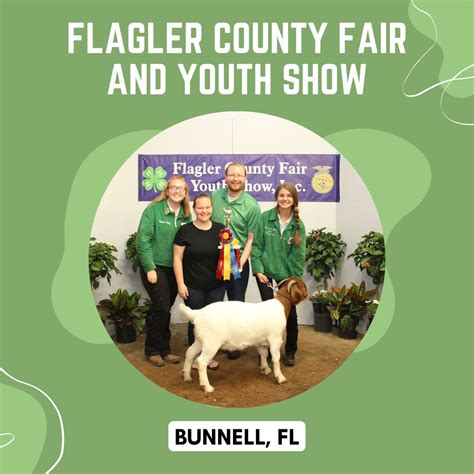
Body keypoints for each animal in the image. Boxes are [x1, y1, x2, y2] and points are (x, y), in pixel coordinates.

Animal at [178, 278, 308, 392]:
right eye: (304, 286)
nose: (308, 295)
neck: (281, 305)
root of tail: (197, 313)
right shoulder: (275, 339)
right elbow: (276, 358)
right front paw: (280, 378)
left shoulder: (261, 342)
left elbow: (264, 354)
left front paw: (265, 369)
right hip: (211, 343)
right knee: (201, 362)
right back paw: (207, 387)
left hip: (200, 340)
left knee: (190, 353)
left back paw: (187, 377)